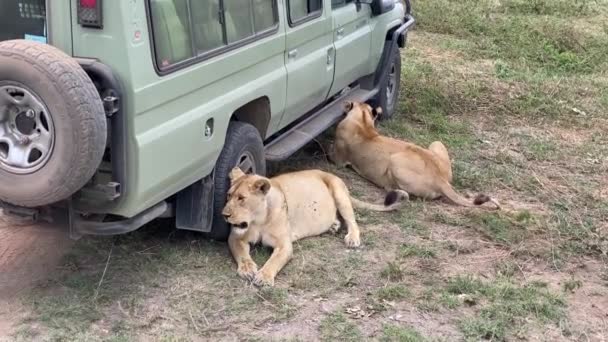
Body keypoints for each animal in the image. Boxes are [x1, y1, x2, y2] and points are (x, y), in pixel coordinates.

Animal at [221, 167, 406, 288]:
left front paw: (264, 277)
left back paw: (352, 238)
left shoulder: (284, 245)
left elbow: (274, 261)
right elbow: (242, 254)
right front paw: (247, 269)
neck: (258, 219)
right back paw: (333, 226)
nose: (224, 215)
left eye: (241, 198)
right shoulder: (236, 237)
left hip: (339, 194)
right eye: (229, 195)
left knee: (352, 221)